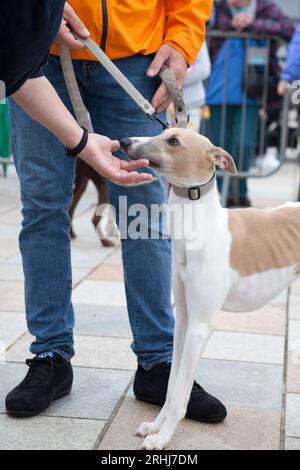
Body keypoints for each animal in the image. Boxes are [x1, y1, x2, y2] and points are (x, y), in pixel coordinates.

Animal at [120, 127, 300, 448]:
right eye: (163, 132)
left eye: (174, 141)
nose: (124, 142)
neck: (201, 228)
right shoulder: (183, 322)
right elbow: (172, 387)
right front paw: (155, 426)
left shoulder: (200, 327)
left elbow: (180, 392)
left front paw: (162, 438)